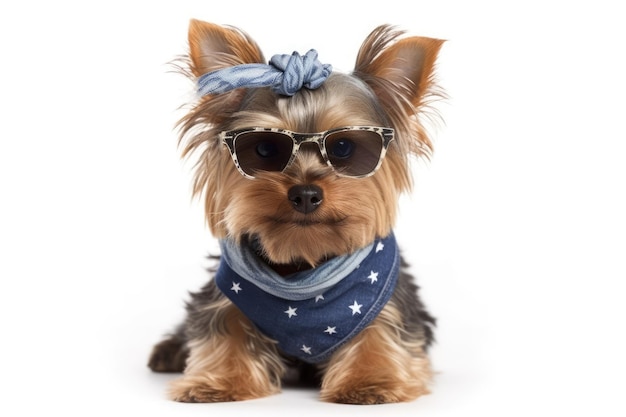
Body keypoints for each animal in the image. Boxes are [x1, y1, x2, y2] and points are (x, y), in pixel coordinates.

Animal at [148, 18, 442, 404]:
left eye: (344, 147)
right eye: (264, 148)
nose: (305, 194)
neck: (303, 273)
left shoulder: (385, 297)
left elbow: (382, 329)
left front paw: (370, 380)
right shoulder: (227, 293)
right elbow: (224, 324)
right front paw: (219, 381)